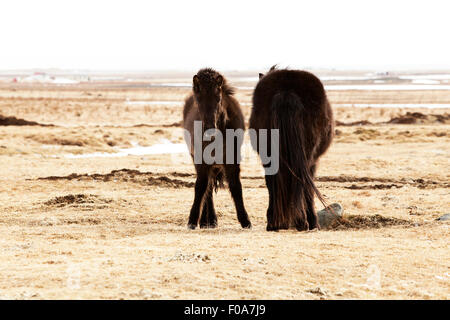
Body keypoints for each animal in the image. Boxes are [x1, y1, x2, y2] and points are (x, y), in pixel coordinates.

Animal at [183, 67, 253, 229]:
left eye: (218, 98)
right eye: (198, 99)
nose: (209, 129)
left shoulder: (232, 161)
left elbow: (236, 187)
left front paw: (245, 221)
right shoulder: (201, 161)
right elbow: (201, 187)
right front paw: (192, 221)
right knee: (207, 188)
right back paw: (207, 221)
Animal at [250, 66, 334, 231]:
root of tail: (286, 92)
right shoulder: (313, 163)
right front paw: (312, 222)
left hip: (269, 156)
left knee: (272, 182)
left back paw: (274, 223)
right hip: (306, 157)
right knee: (302, 182)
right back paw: (302, 222)